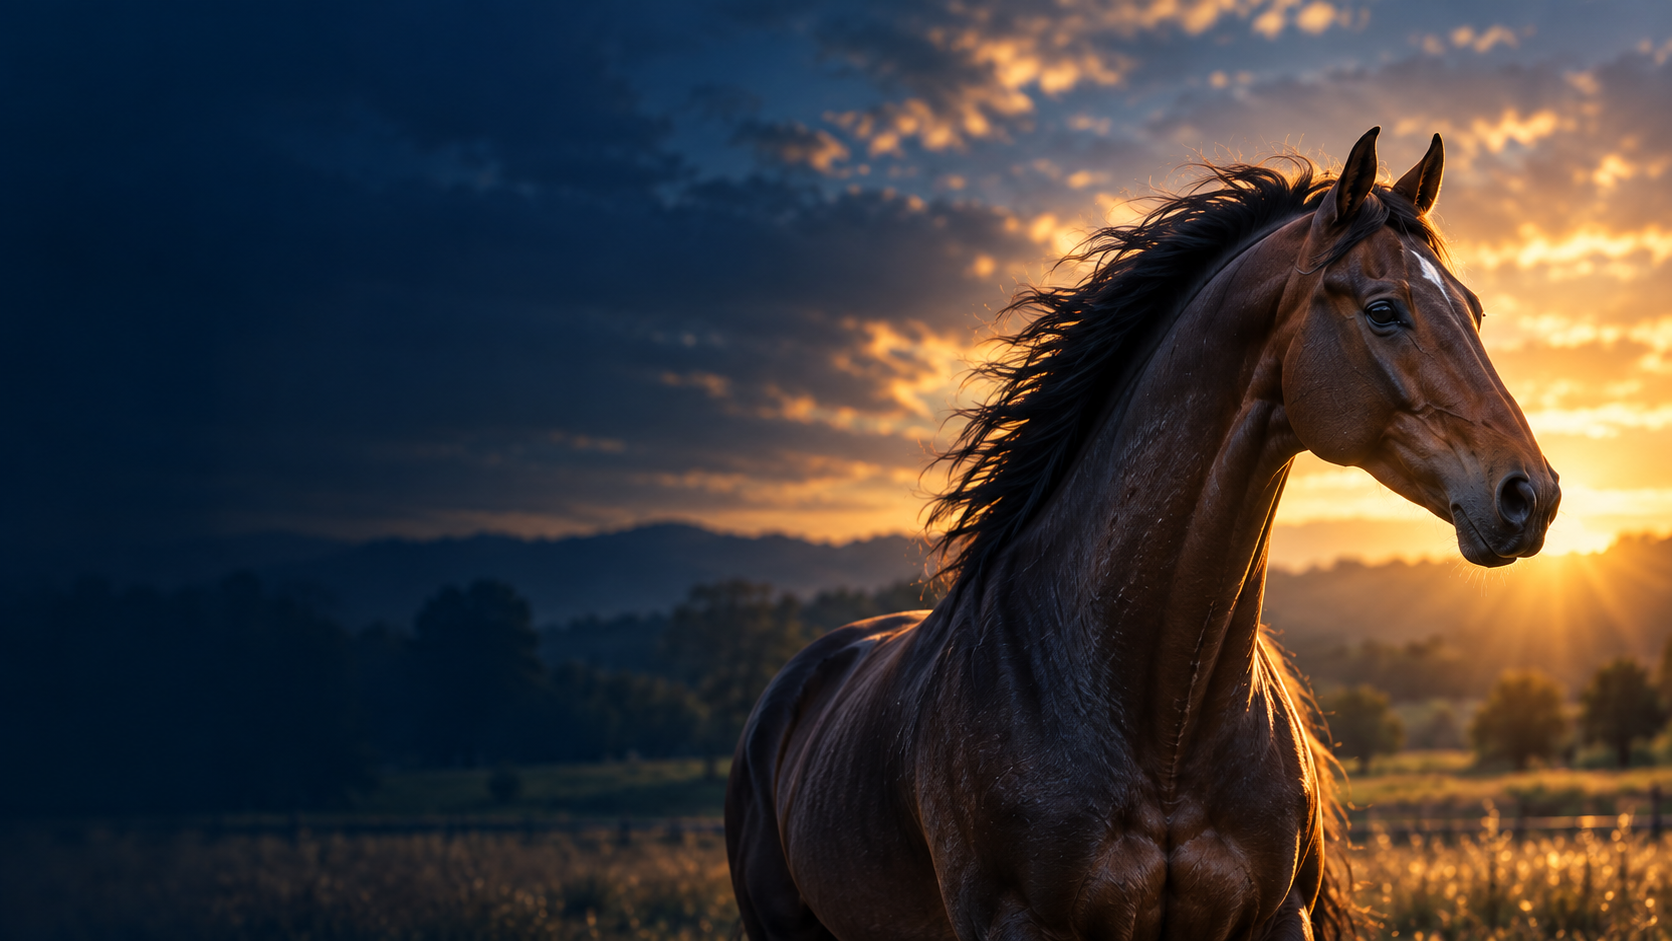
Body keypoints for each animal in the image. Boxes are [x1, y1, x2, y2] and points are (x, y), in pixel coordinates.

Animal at [725, 127, 1560, 941]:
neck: (1159, 715)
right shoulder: (1015, 922)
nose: (1532, 495)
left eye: (1474, 311)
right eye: (1384, 309)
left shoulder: (1277, 916)